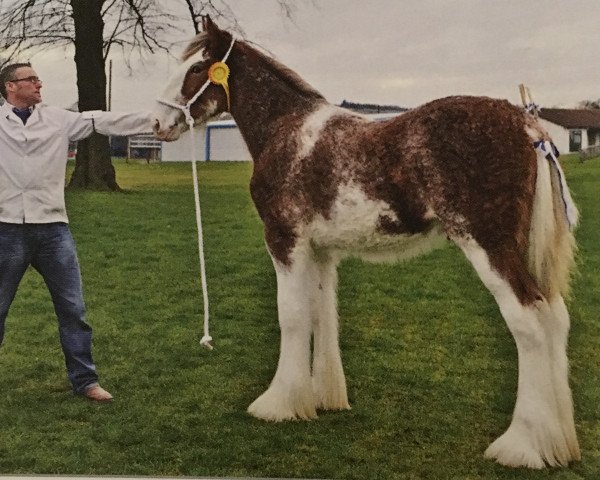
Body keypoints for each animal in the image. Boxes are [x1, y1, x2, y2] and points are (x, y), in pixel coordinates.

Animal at [152, 15, 580, 468]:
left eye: (198, 67)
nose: (157, 123)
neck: (286, 131)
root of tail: (527, 125)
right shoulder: (321, 252)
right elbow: (322, 315)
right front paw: (321, 397)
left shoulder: (285, 241)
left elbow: (292, 316)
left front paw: (278, 403)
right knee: (556, 318)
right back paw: (557, 442)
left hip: (489, 246)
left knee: (529, 323)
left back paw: (522, 445)